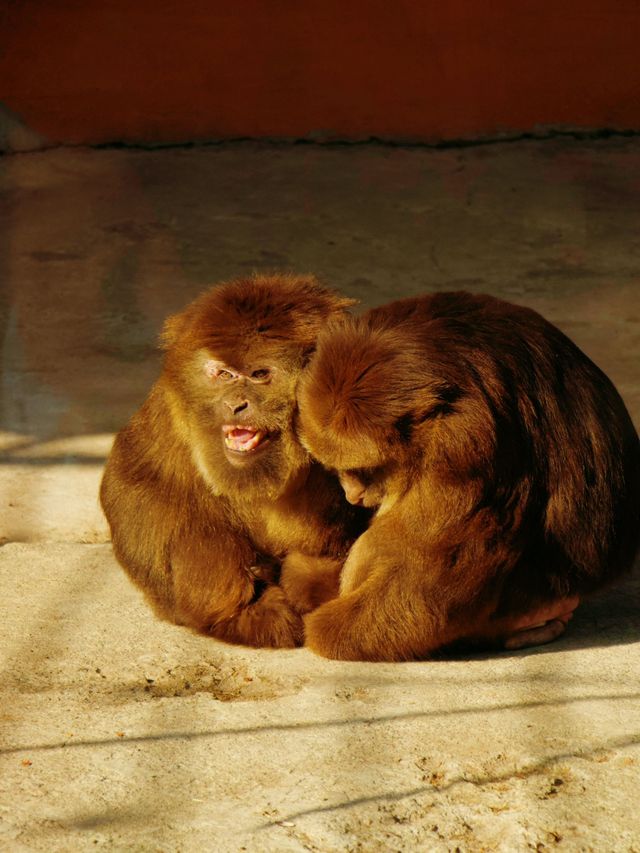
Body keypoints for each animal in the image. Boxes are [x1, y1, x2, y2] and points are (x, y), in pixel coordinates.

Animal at [100, 272, 370, 644]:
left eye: (259, 375)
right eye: (224, 374)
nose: (234, 404)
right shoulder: (170, 407)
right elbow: (134, 481)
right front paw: (233, 605)